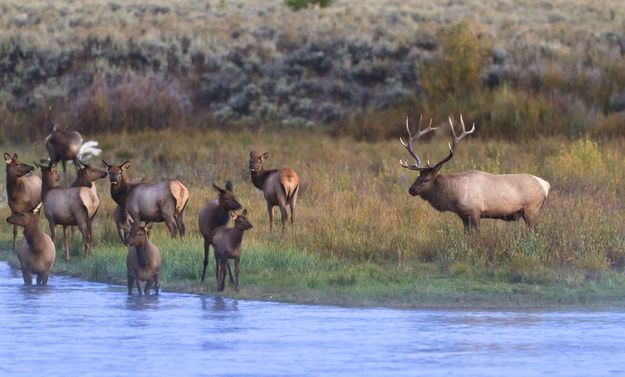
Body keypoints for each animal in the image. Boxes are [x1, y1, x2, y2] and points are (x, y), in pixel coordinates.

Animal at [398, 114, 548, 232]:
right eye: (418, 175)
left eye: (427, 179)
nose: (411, 190)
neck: (454, 197)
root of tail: (546, 185)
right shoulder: (464, 216)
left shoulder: (475, 212)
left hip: (531, 209)